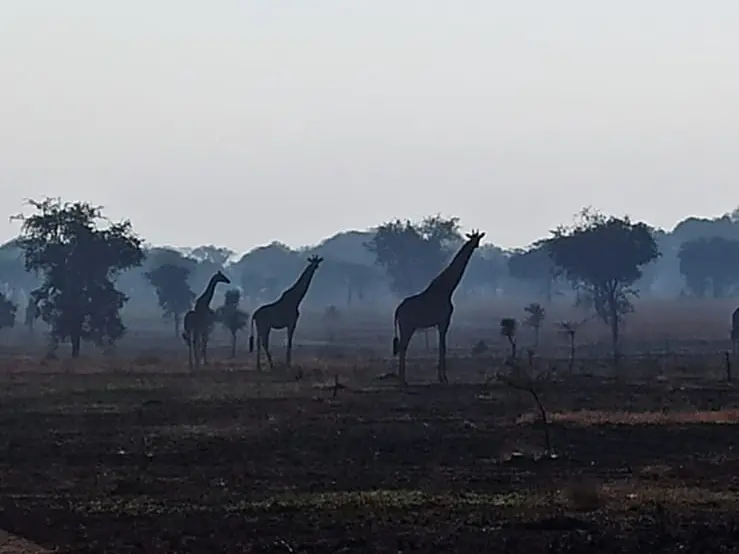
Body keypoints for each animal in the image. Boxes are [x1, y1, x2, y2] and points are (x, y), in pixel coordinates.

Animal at [390, 231, 488, 382]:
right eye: (473, 238)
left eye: (478, 238)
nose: (476, 244)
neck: (447, 290)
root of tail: (398, 310)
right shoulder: (444, 321)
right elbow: (443, 347)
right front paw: (443, 377)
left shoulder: (441, 322)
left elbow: (442, 346)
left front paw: (441, 376)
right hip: (407, 326)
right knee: (402, 346)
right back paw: (403, 379)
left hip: (406, 326)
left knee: (402, 346)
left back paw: (402, 378)